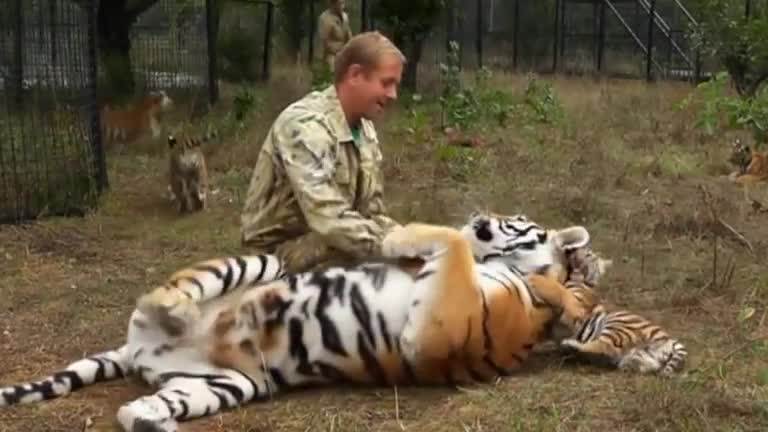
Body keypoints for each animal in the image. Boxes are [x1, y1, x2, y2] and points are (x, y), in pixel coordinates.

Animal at [0, 212, 595, 431]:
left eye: (520, 220)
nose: (483, 217)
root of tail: (140, 350)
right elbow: (453, 243)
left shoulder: (434, 331)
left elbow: (452, 244)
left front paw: (401, 235)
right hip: (263, 267)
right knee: (165, 294)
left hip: (225, 383)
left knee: (134, 399)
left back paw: (157, 413)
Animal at [544, 247, 688, 377]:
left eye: (588, 253)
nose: (572, 250)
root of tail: (669, 339)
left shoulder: (576, 299)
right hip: (639, 358)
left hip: (616, 323)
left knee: (604, 346)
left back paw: (570, 344)